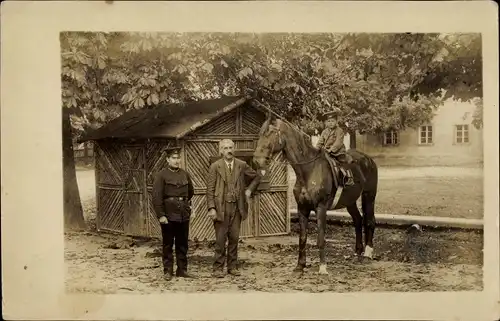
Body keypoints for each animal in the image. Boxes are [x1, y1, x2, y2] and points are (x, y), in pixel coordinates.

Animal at [252, 111, 376, 274]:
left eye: (271, 133)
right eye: (260, 133)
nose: (256, 161)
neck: (309, 170)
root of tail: (368, 160)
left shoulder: (320, 208)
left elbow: (320, 238)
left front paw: (323, 267)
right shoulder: (302, 209)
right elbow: (302, 238)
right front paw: (300, 265)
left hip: (369, 195)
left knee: (370, 221)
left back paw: (368, 252)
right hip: (350, 201)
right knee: (358, 220)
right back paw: (358, 251)